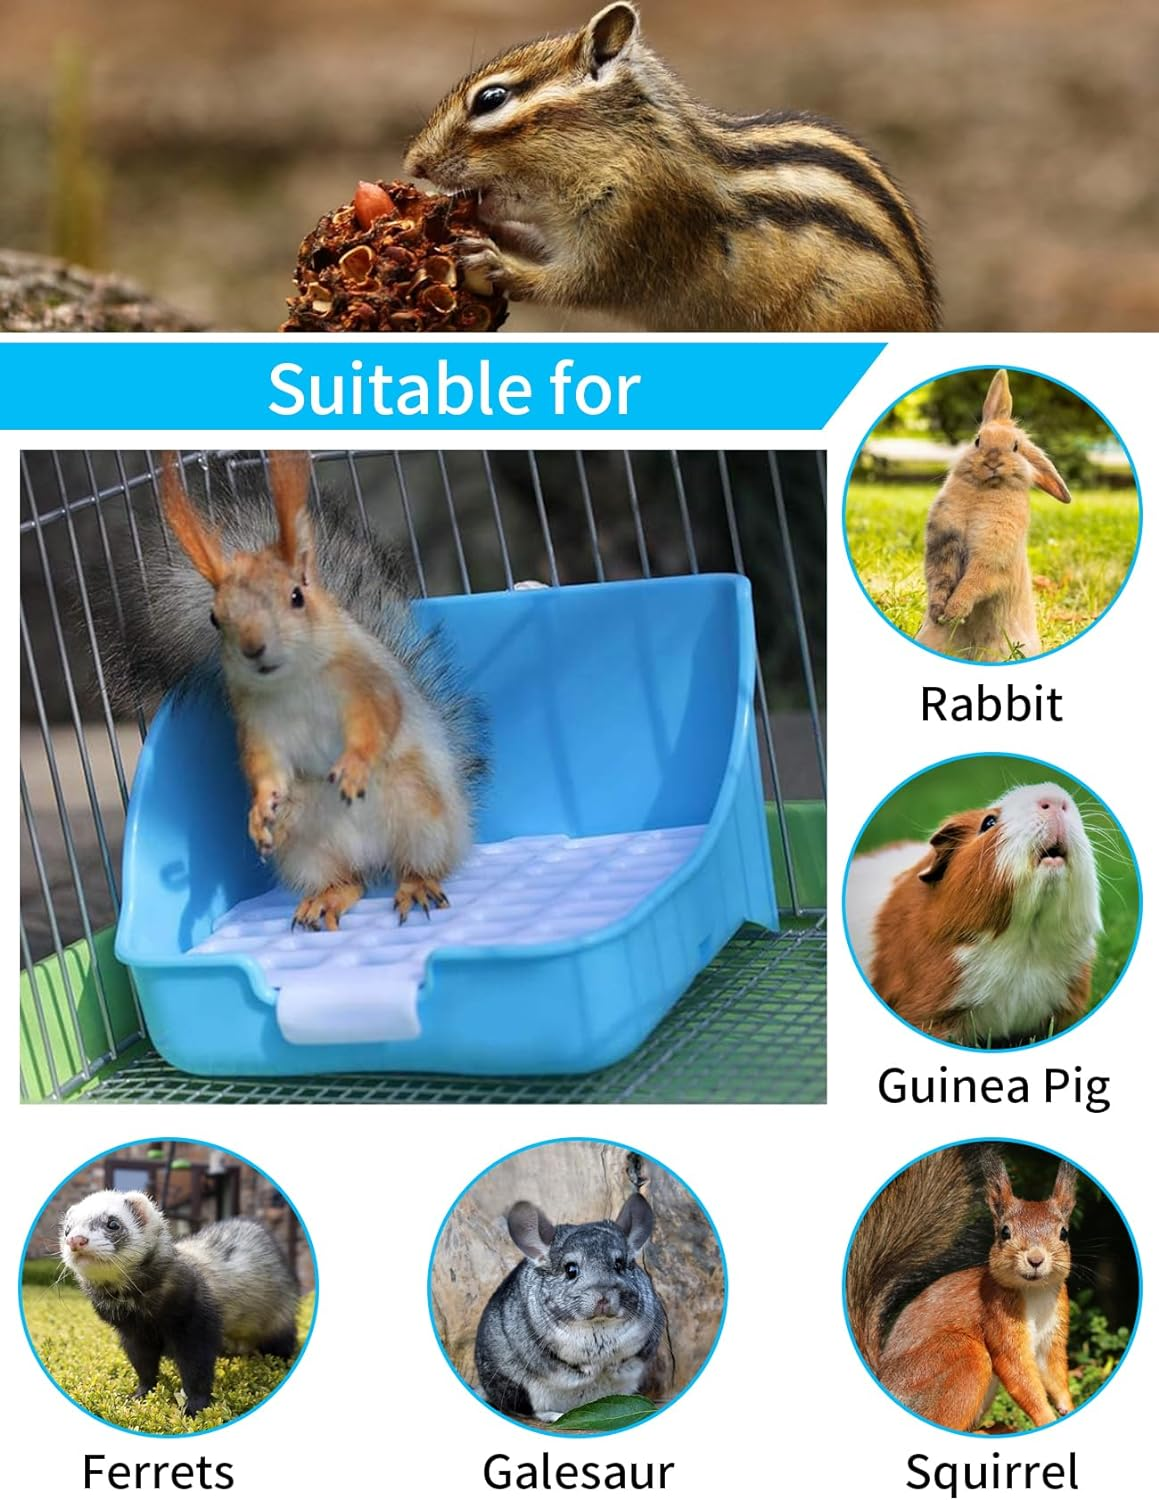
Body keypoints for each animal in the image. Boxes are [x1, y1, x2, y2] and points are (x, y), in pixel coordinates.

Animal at [474, 1193, 666, 1423]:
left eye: (619, 1264)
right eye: (570, 1270)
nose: (603, 1297)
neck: (598, 1326)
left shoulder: (646, 1339)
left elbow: (629, 1358)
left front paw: (611, 1366)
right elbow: (570, 1367)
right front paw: (593, 1370)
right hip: (525, 1390)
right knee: (535, 1412)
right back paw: (557, 1415)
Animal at [915, 369, 1072, 661]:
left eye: (1015, 446)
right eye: (978, 440)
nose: (992, 461)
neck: (985, 491)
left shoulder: (993, 555)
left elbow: (976, 580)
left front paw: (954, 611)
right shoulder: (944, 543)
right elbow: (940, 576)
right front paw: (938, 611)